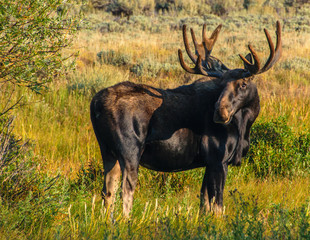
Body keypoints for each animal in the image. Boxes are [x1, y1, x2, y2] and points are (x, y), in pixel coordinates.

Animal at [89, 21, 280, 217]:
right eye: (221, 84)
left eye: (243, 84)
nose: (219, 113)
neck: (244, 125)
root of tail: (95, 104)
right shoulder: (218, 159)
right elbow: (218, 206)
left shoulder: (209, 162)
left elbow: (204, 203)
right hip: (130, 151)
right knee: (126, 191)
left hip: (107, 151)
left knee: (107, 192)